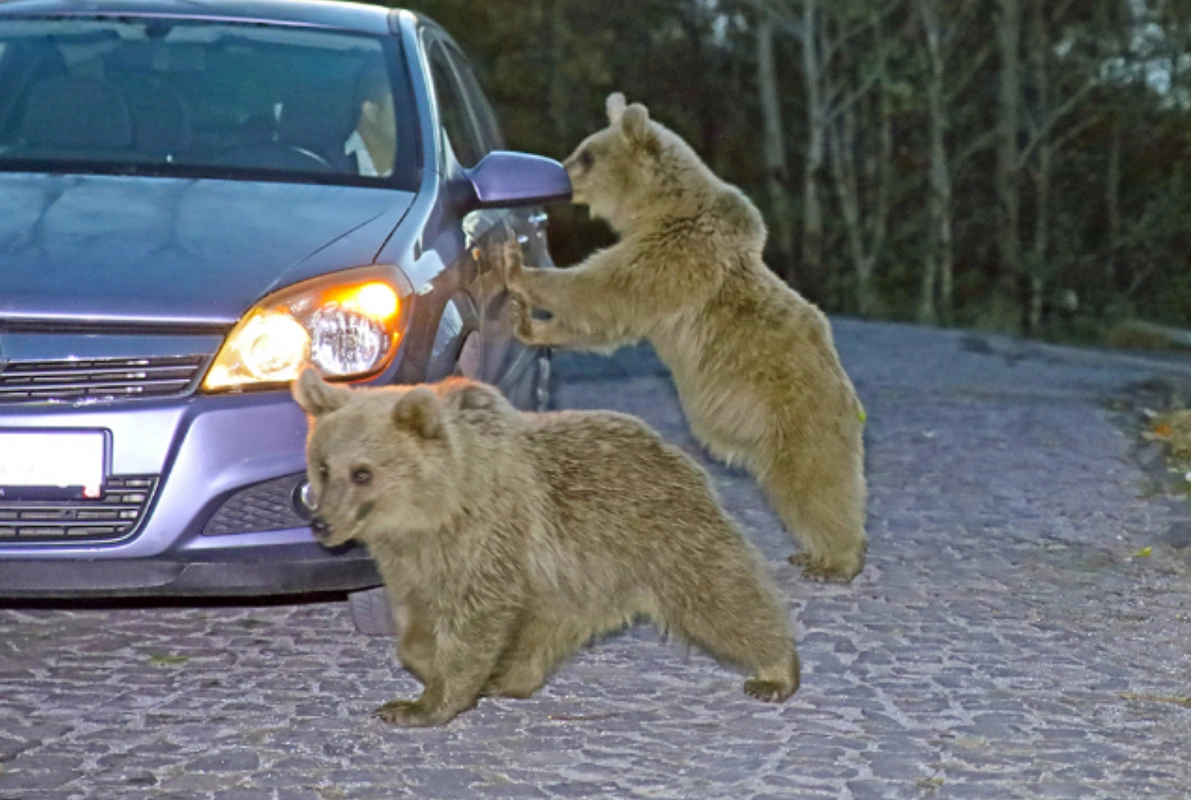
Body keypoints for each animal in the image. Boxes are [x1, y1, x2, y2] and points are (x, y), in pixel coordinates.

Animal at [292, 371, 805, 728]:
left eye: (362, 472)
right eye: (323, 465)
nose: (321, 522)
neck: (434, 511)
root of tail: (675, 451)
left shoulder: (488, 538)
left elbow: (476, 620)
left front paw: (422, 704)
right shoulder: (412, 561)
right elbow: (417, 622)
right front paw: (429, 666)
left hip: (661, 536)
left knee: (722, 599)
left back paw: (776, 671)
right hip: (574, 578)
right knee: (545, 631)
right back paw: (510, 677)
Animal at [500, 92, 867, 580]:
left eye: (587, 154)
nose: (558, 175)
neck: (655, 209)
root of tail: (849, 398)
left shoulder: (674, 256)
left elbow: (601, 290)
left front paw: (517, 269)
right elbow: (602, 321)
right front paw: (531, 325)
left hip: (797, 413)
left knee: (814, 483)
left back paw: (835, 559)